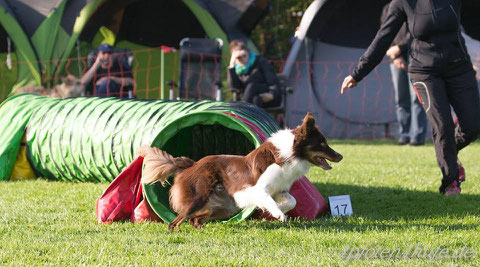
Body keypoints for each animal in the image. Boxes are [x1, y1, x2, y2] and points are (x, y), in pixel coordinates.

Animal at [138, 113, 342, 230]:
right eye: (322, 143)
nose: (340, 156)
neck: (288, 154)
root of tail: (192, 164)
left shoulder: (280, 189)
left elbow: (293, 201)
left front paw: (277, 211)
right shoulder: (259, 188)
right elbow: (269, 200)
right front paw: (278, 214)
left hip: (224, 207)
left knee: (194, 220)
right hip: (200, 197)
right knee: (176, 221)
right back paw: (176, 231)